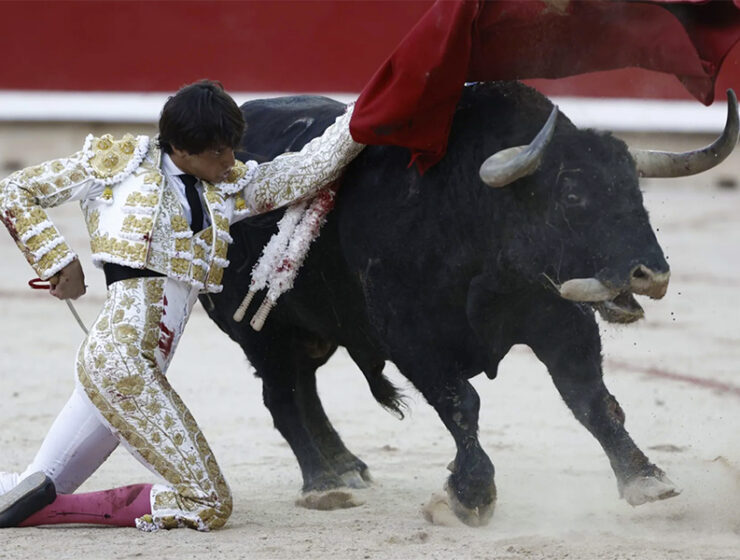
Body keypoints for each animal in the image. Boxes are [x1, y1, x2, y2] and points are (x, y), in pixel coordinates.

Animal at [199, 82, 736, 524]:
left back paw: (346, 467)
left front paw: (645, 477)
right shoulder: (412, 339)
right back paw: (324, 484)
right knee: (282, 397)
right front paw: (470, 494)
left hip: (312, 331)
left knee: (305, 387)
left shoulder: (562, 322)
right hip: (258, 333)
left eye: (634, 190)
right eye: (572, 195)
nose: (652, 273)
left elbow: (593, 400)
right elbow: (461, 404)